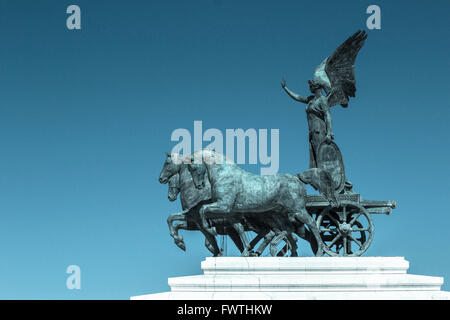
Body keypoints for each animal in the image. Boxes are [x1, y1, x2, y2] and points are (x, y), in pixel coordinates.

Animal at [186, 149, 324, 256]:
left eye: (192, 167)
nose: (199, 185)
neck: (224, 175)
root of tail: (296, 179)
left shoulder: (223, 206)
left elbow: (202, 209)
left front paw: (211, 230)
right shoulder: (230, 213)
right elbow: (239, 228)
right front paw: (246, 251)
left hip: (298, 211)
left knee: (312, 224)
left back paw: (320, 251)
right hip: (279, 214)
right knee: (288, 229)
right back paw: (275, 247)